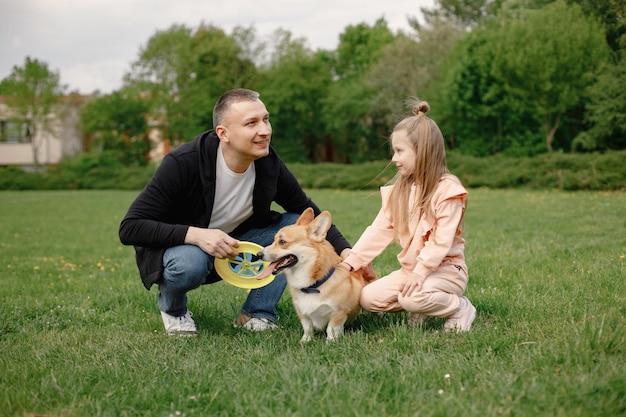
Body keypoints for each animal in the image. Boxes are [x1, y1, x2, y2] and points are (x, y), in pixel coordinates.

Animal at [255, 207, 372, 342]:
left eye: (282, 241)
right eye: (273, 240)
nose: (258, 254)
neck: (311, 286)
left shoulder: (338, 312)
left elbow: (331, 329)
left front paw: (330, 342)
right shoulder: (302, 313)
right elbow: (307, 328)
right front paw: (305, 341)